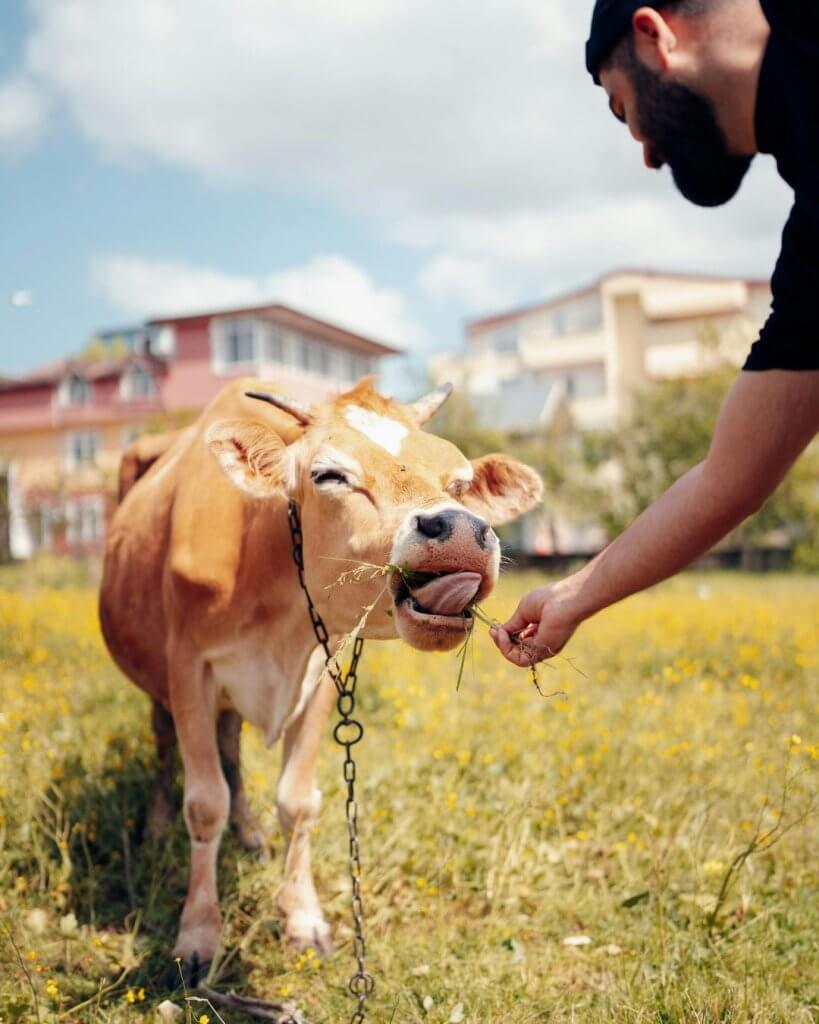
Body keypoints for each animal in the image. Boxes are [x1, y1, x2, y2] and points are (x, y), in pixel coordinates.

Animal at [99, 376, 542, 986]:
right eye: (330, 474)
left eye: (459, 483)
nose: (458, 530)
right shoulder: (188, 667)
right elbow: (205, 804)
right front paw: (198, 936)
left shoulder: (321, 670)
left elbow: (297, 800)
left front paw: (303, 919)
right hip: (156, 683)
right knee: (167, 746)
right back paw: (160, 827)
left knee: (231, 749)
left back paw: (251, 835)